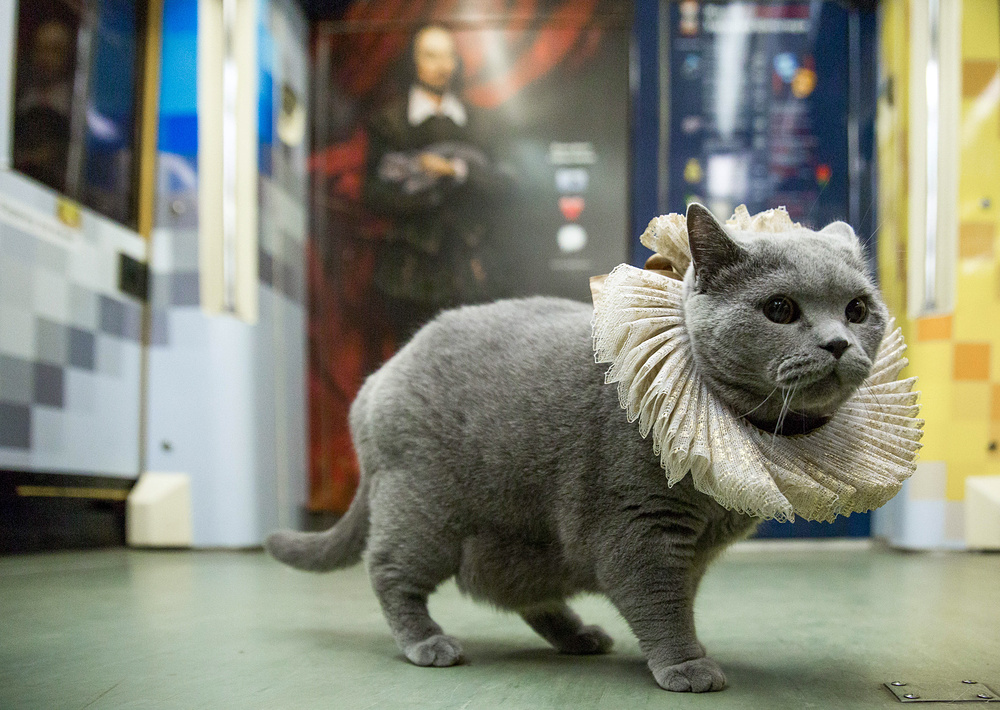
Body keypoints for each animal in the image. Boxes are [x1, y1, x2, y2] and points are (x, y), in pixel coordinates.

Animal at [268, 206, 892, 696]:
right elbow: (659, 600)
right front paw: (687, 666)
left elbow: (678, 599)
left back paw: (579, 636)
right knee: (389, 571)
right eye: (780, 309)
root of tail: (379, 376)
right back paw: (429, 643)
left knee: (513, 590)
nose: (838, 343)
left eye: (857, 310)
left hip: (523, 535)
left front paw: (684, 653)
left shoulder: (692, 549)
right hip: (425, 509)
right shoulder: (642, 528)